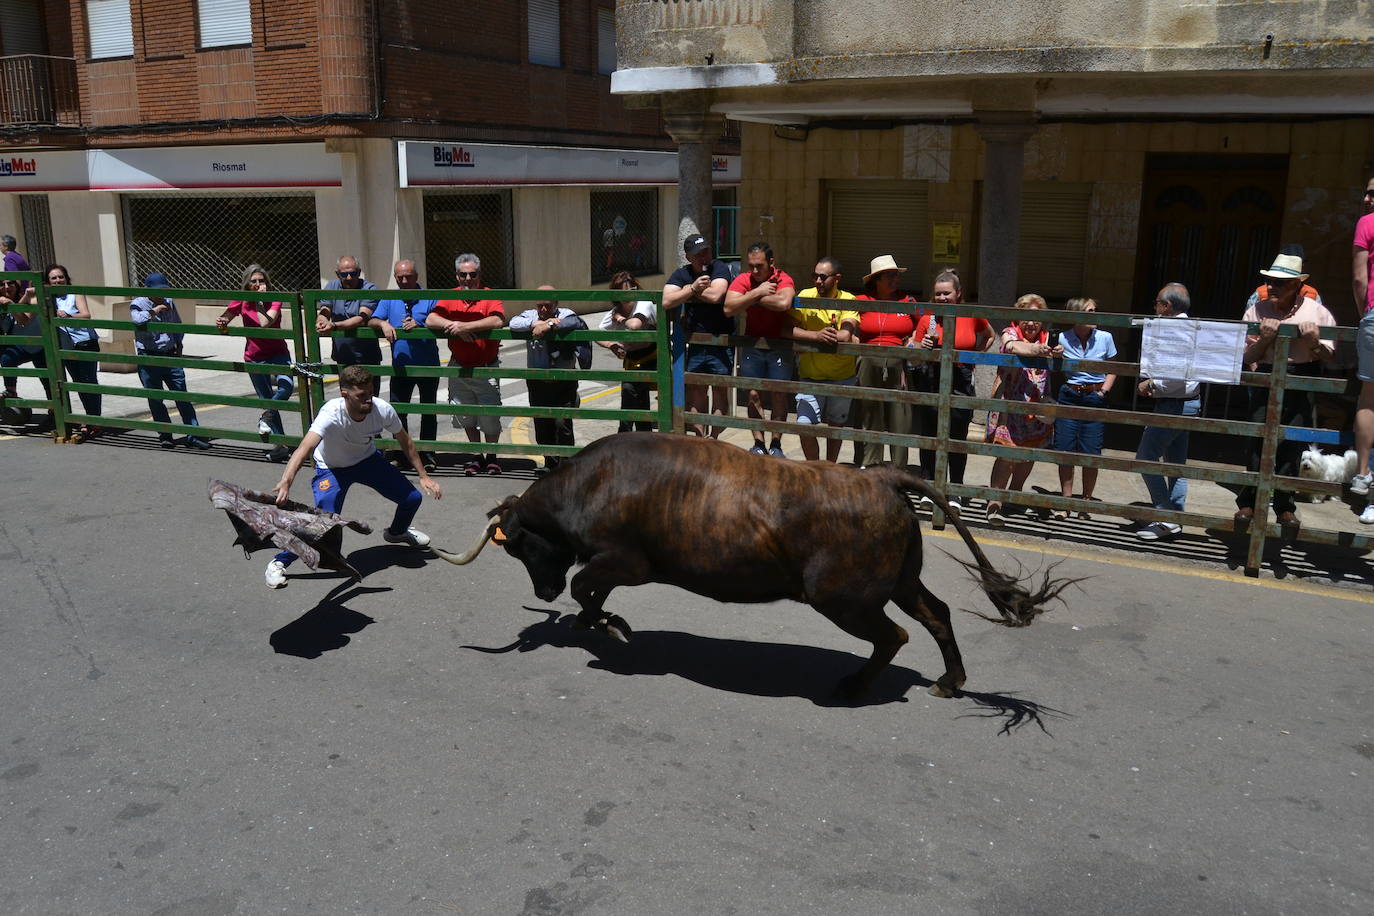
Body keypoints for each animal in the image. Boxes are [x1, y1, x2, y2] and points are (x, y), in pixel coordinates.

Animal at [439, 433, 1071, 697]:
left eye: (517, 546)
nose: (540, 594)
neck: (589, 483)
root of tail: (882, 478)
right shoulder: (614, 566)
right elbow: (587, 592)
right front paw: (605, 623)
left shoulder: (624, 561)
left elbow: (583, 586)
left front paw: (607, 626)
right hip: (899, 581)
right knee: (936, 615)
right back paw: (950, 681)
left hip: (845, 599)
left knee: (893, 636)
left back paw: (852, 686)